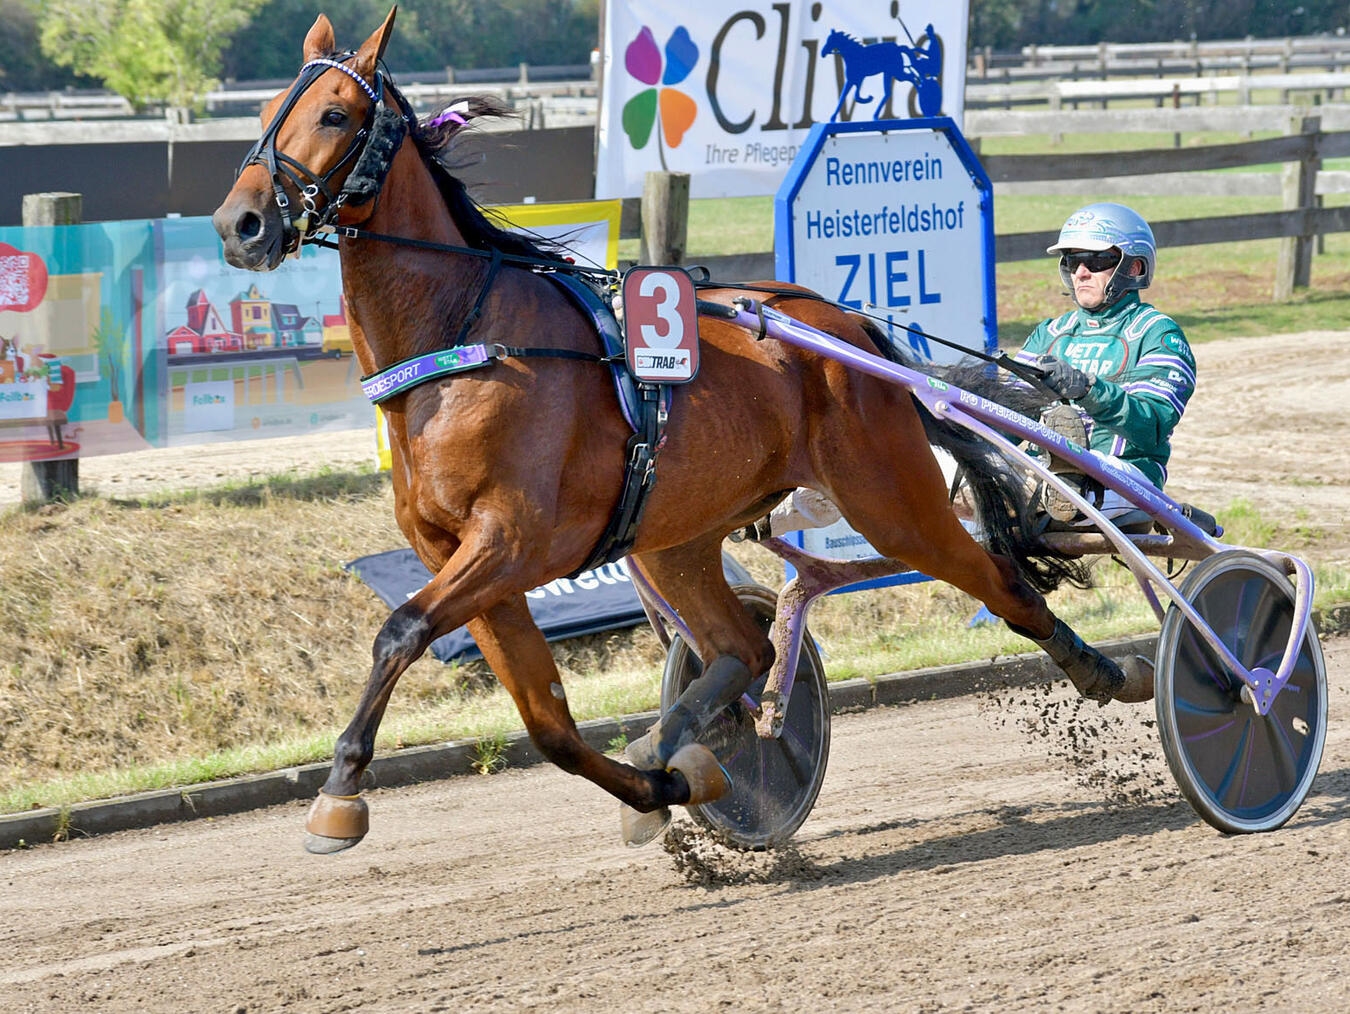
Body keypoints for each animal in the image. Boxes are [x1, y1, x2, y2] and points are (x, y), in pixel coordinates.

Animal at [213, 7, 1144, 855]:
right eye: (264, 115)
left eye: (335, 113)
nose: (240, 224)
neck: (462, 341)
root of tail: (842, 323)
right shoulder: (462, 558)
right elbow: (547, 723)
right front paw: (663, 784)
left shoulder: (510, 541)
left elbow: (400, 630)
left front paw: (340, 790)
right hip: (677, 535)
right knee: (746, 646)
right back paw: (680, 747)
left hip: (888, 498)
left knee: (999, 580)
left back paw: (1111, 670)